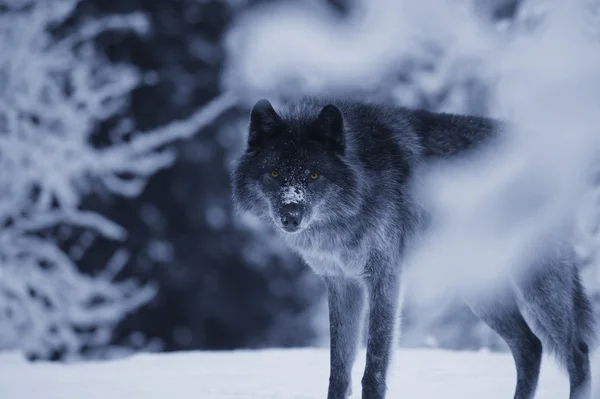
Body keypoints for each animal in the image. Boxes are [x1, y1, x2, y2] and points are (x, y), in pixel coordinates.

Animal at [229, 97, 596, 399]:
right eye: (274, 173)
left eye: (314, 175)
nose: (291, 214)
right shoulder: (342, 284)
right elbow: (339, 371)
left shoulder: (385, 278)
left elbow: (374, 368)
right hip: (481, 291)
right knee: (530, 347)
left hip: (536, 284)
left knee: (577, 353)